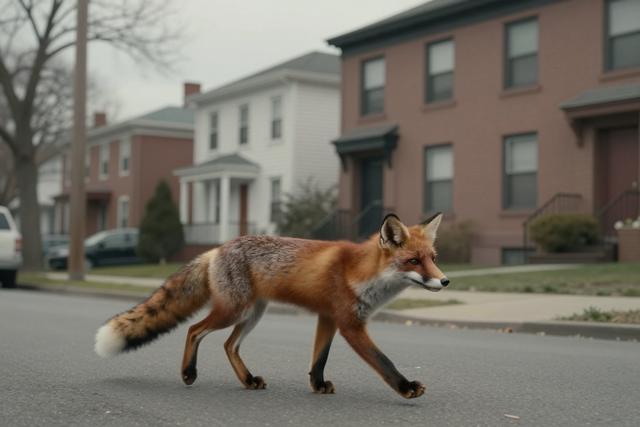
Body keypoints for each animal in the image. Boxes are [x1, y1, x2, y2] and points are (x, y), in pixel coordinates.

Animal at [94, 213, 449, 399]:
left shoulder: (328, 318)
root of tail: (217, 248)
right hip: (233, 311)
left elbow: (319, 359)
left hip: (252, 314)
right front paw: (405, 387)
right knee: (195, 330)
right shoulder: (350, 324)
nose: (445, 281)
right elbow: (383, 361)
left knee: (228, 345)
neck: (361, 273)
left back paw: (248, 380)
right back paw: (188, 372)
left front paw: (317, 385)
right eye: (414, 261)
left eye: (433, 258)